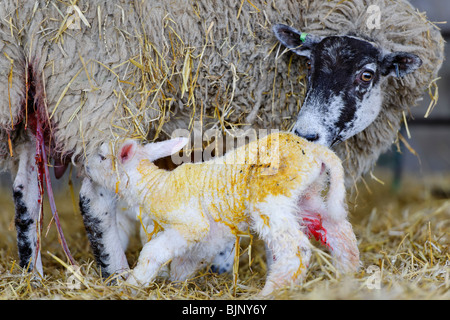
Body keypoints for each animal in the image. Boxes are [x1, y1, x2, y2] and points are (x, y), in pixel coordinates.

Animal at [86, 132, 360, 296]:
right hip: (306, 197)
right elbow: (188, 260)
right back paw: (347, 274)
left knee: (296, 249)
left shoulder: (192, 224)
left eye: (102, 156)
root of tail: (316, 151)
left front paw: (133, 284)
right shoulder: (210, 236)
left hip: (270, 199)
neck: (156, 185)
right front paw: (176, 282)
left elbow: (154, 252)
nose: (85, 165)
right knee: (339, 231)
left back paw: (270, 292)